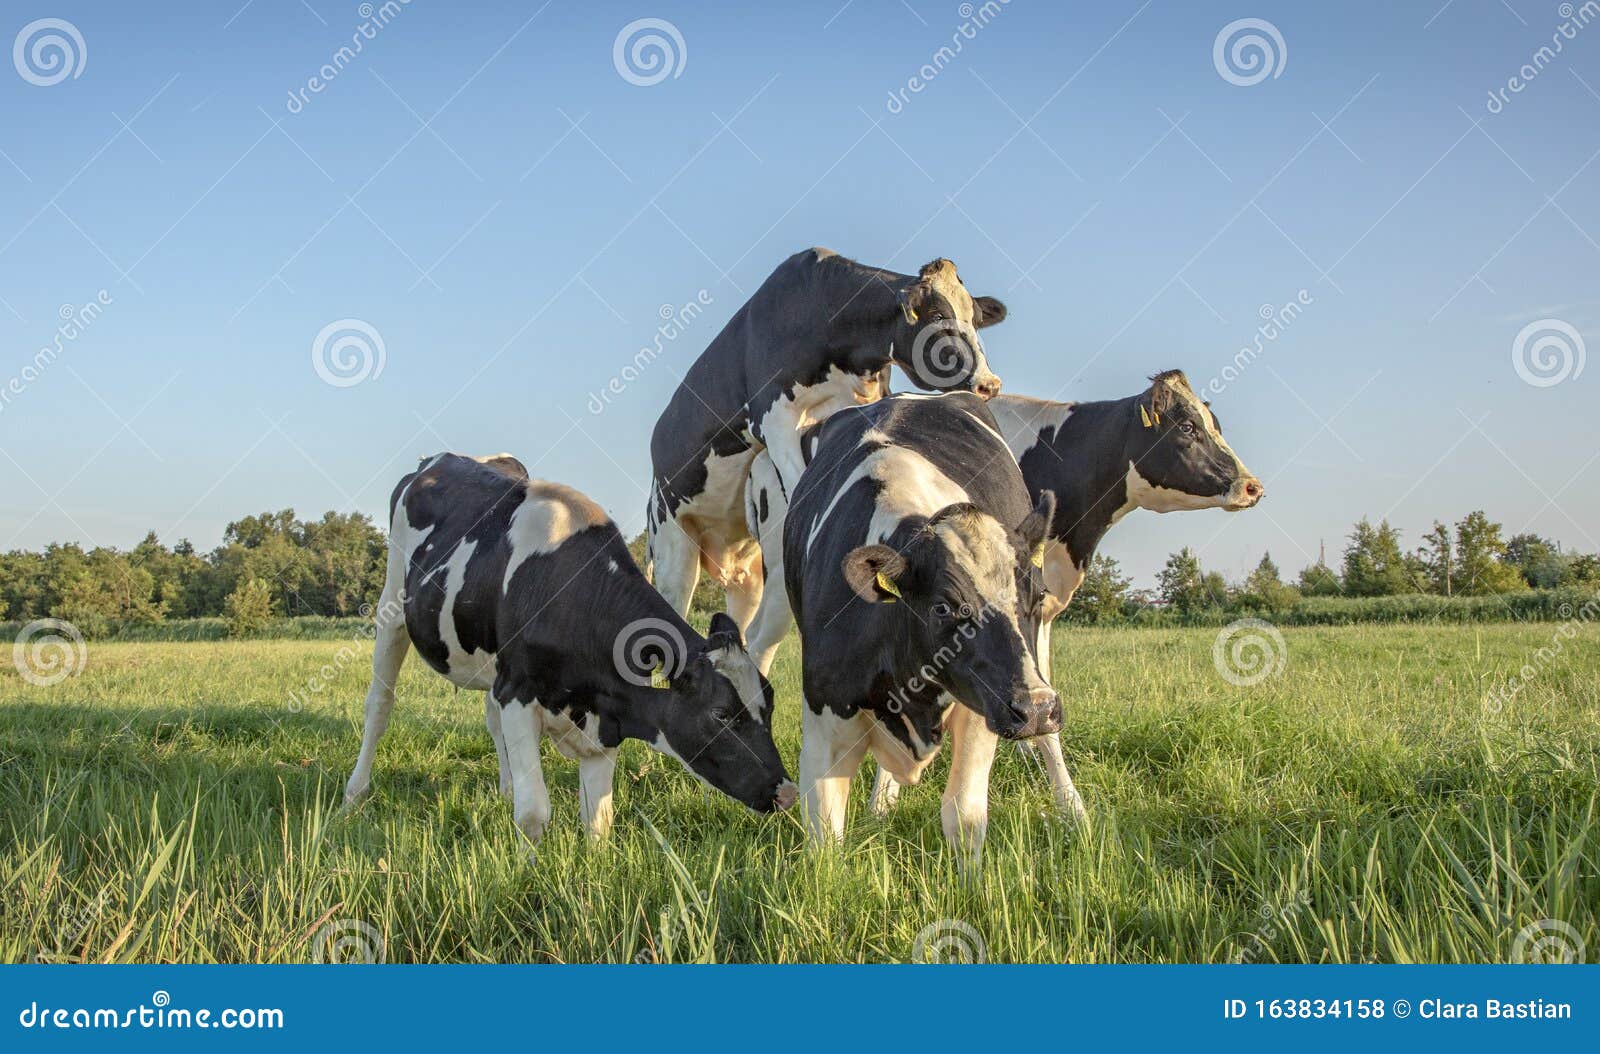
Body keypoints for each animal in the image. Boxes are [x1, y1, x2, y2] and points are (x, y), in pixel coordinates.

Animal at [350, 454, 800, 850]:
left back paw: (505, 788)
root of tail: (437, 460)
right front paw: (526, 871)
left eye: (770, 705)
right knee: (379, 705)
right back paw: (355, 793)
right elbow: (534, 813)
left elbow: (598, 821)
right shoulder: (518, 692)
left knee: (491, 719)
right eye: (721, 715)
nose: (787, 793)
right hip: (392, 606)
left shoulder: (604, 717)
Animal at [646, 249, 998, 636]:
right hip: (672, 542)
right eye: (937, 316)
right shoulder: (774, 417)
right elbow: (800, 483)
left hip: (745, 574)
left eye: (976, 319)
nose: (989, 383)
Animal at [780, 391, 1056, 863]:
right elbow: (825, 837)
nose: (1034, 708)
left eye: (1036, 598)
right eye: (943, 607)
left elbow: (963, 816)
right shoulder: (823, 724)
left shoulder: (982, 707)